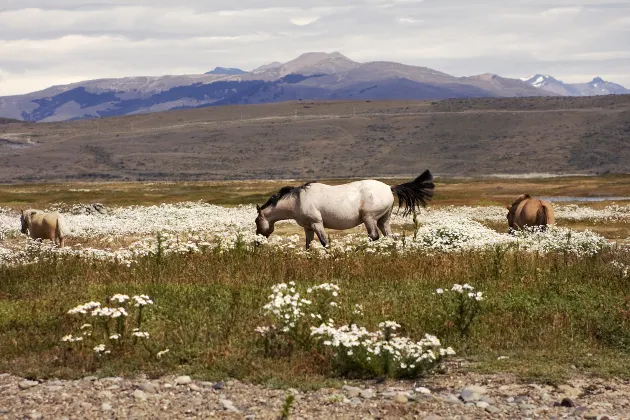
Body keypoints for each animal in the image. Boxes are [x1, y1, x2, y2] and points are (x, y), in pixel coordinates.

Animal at [256, 171, 434, 249]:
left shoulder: (317, 223)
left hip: (369, 218)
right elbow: (308, 245)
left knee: (373, 236)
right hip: (384, 220)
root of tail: (390, 188)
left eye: (257, 221)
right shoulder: (308, 228)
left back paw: (356, 250)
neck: (298, 200)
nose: (257, 242)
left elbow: (324, 242)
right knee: (390, 237)